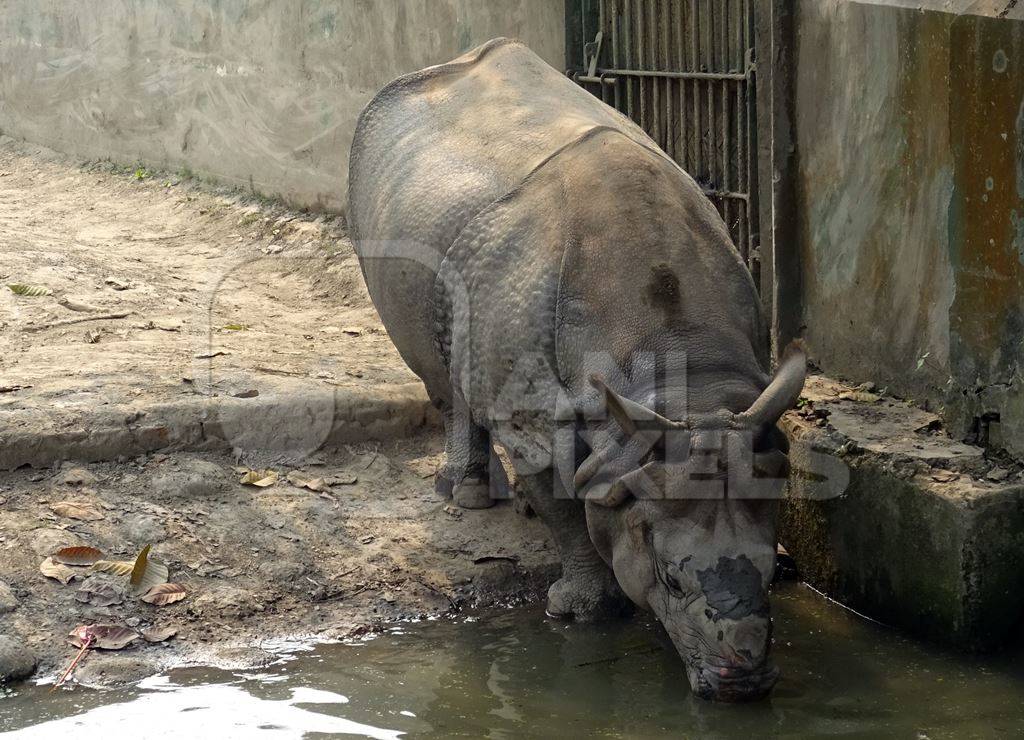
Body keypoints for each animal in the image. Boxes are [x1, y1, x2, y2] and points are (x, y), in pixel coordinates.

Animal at [348, 39, 802, 700]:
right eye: (669, 579)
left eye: (770, 575)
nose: (742, 684)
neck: (676, 375)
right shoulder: (530, 416)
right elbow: (561, 497)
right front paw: (584, 610)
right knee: (443, 374)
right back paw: (466, 497)